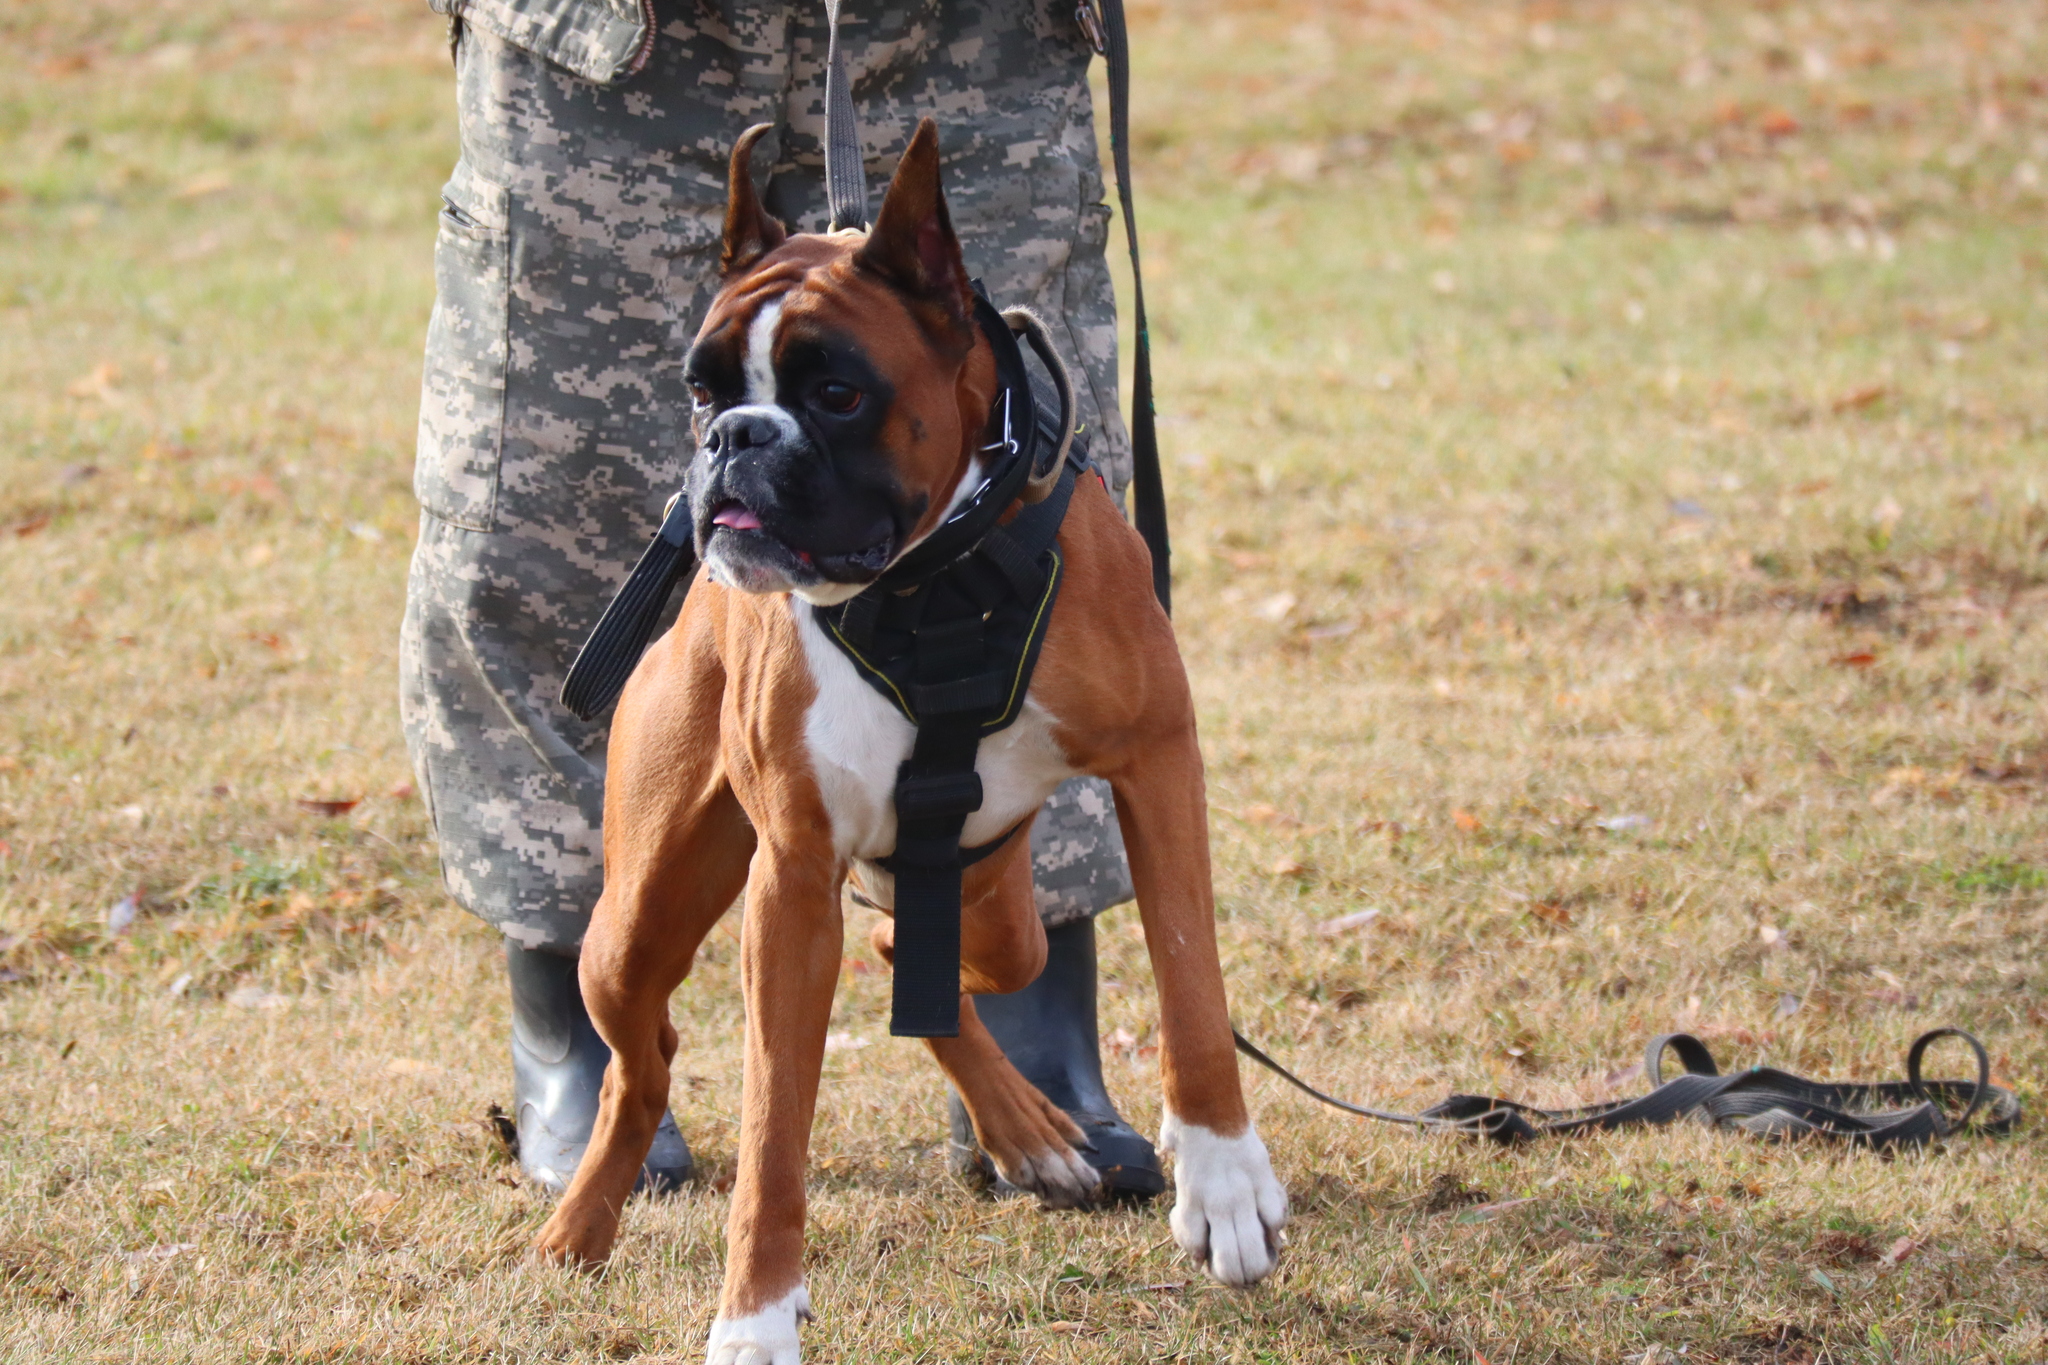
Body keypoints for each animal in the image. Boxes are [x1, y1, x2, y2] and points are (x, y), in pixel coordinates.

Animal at [536, 120, 1286, 1365]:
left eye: (838, 392)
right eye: (697, 391)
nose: (731, 439)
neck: (930, 581)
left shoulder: (1157, 761)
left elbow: (1188, 983)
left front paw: (1221, 1180)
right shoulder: (794, 879)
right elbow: (773, 1126)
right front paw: (754, 1316)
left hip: (991, 899)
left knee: (914, 953)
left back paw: (1032, 1132)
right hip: (631, 929)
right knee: (639, 1071)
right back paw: (580, 1223)